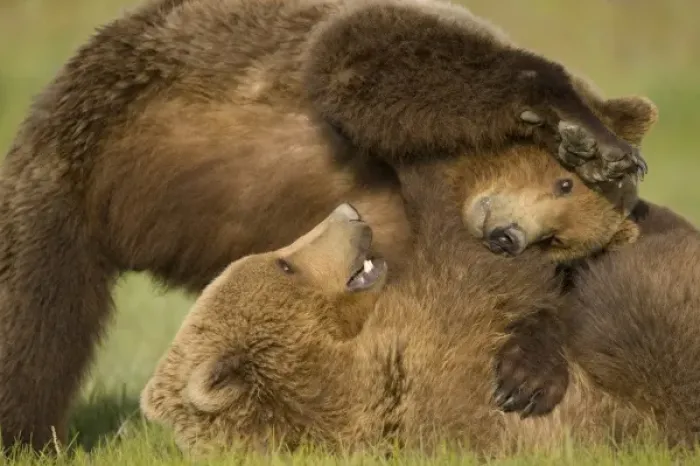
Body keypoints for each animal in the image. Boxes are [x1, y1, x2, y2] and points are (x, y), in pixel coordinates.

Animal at [0, 0, 656, 449]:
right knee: (30, 325)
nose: (507, 238)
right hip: (69, 173)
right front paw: (586, 135)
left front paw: (527, 373)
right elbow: (362, 59)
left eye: (561, 239)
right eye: (560, 185)